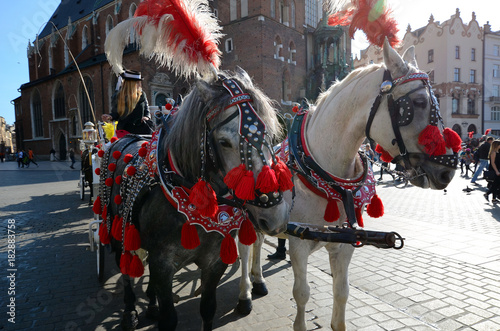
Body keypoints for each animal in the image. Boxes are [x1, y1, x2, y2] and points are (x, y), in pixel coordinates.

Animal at [236, 39, 458, 331]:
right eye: (418, 102)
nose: (448, 170)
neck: (326, 176)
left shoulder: (345, 244)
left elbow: (342, 293)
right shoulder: (298, 244)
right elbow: (302, 293)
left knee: (259, 242)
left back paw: (258, 279)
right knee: (244, 249)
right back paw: (245, 294)